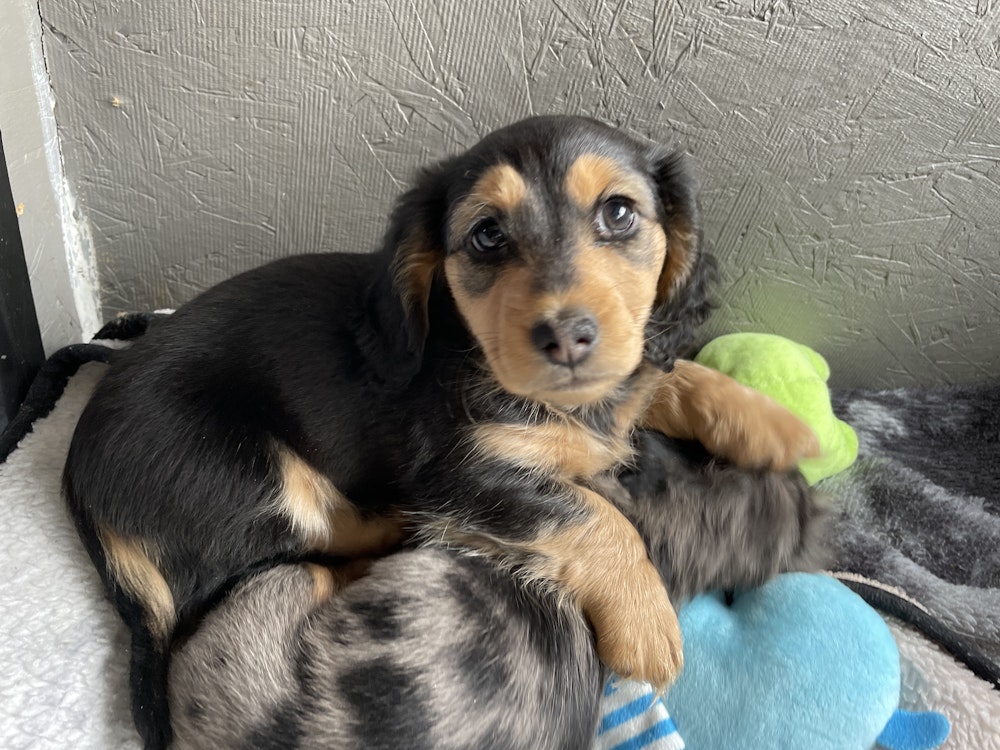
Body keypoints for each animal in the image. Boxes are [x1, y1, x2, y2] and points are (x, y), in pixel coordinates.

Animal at [62, 114, 816, 748]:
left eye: (620, 212)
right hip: (260, 482)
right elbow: (592, 513)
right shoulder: (459, 474)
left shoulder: (628, 367)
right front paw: (647, 622)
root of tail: (77, 477)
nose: (567, 337)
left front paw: (775, 425)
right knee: (290, 555)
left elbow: (669, 376)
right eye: (486, 234)